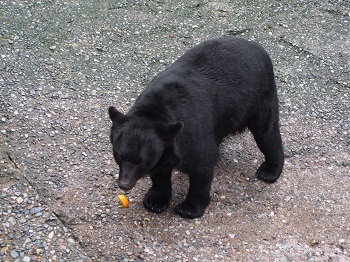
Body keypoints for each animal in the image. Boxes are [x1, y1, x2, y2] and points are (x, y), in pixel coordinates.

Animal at [108, 36, 284, 219]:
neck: (156, 110)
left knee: (266, 132)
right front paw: (155, 201)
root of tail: (257, 46)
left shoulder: (192, 133)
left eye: (142, 161)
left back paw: (270, 170)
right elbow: (160, 172)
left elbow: (202, 166)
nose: (124, 184)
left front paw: (188, 208)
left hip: (260, 96)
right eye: (119, 155)